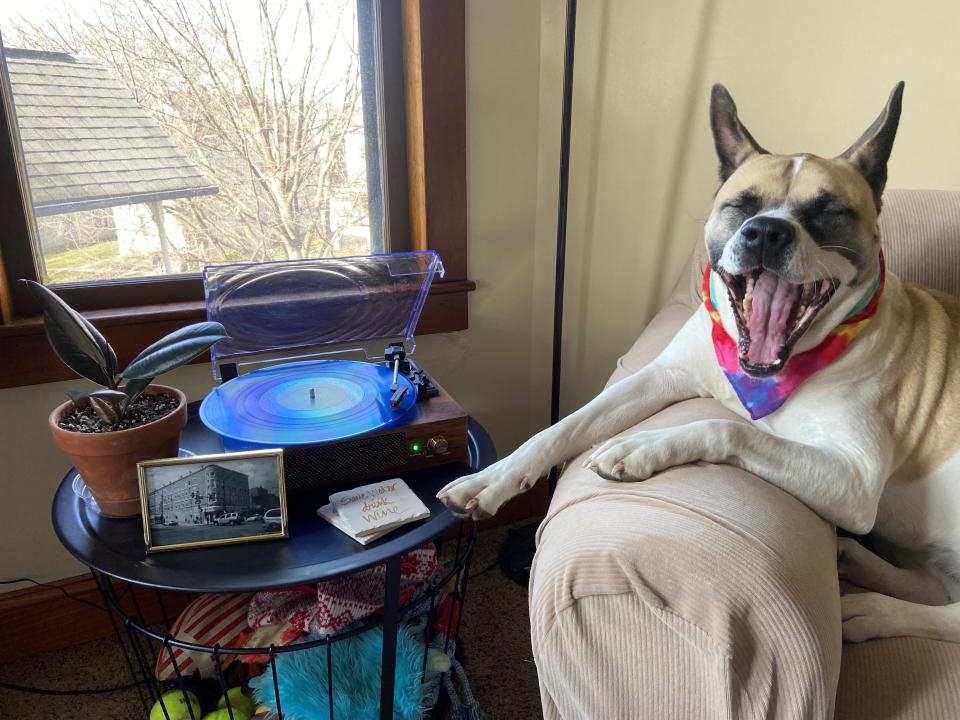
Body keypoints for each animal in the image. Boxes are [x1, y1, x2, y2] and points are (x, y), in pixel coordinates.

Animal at [438, 81, 960, 644]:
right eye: (742, 204)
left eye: (828, 211)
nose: (765, 232)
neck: (774, 369)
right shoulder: (658, 376)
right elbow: (563, 428)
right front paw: (490, 480)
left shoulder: (856, 480)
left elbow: (726, 428)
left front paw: (640, 446)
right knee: (934, 583)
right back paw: (853, 560)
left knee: (947, 611)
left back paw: (869, 611)